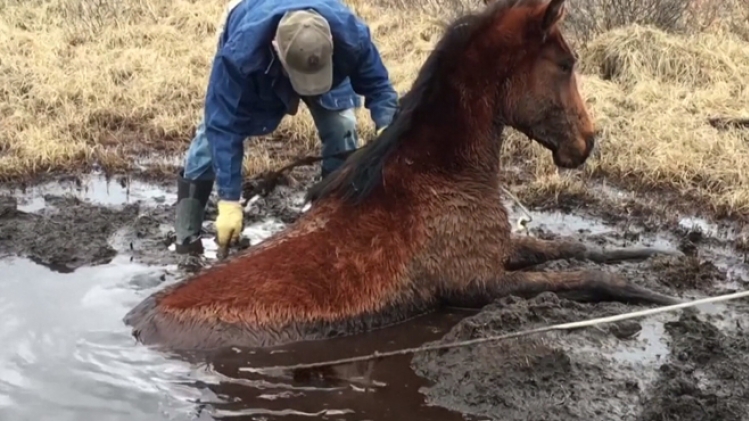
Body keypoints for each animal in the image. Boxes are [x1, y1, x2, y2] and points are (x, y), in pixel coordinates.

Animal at [124, 0, 684, 353]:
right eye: (566, 63)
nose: (586, 143)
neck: (436, 174)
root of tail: (137, 324)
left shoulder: (501, 251)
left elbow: (579, 249)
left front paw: (650, 255)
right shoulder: (480, 284)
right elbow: (590, 278)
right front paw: (664, 299)